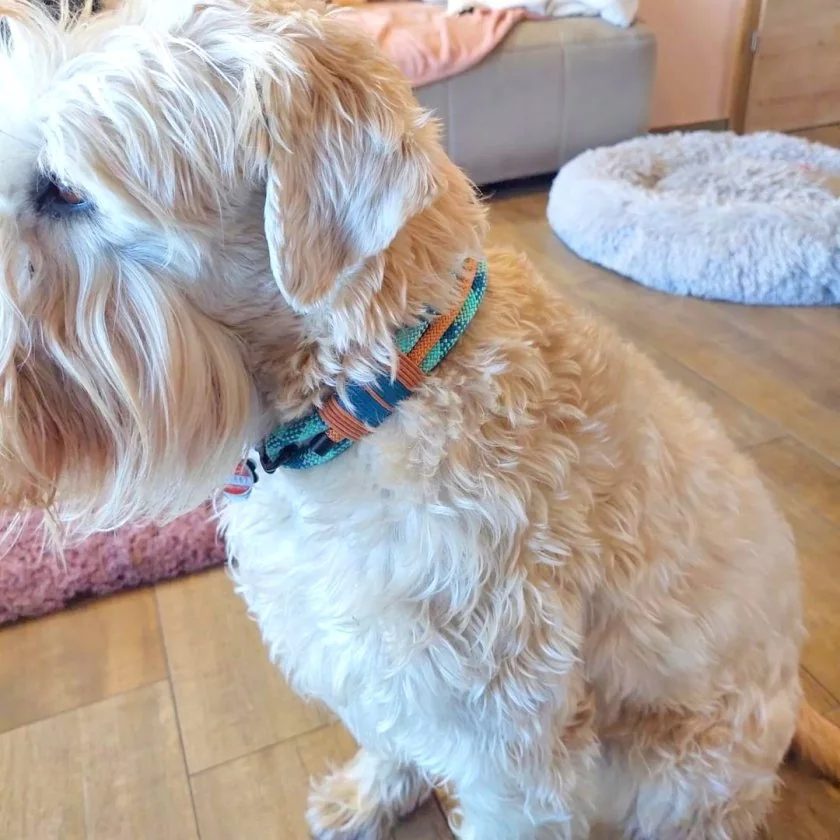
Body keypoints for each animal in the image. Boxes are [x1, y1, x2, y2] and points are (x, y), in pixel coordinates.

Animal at [1, 1, 840, 840]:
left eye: (63, 190)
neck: (373, 398)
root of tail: (793, 698)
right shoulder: (362, 655)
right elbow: (386, 734)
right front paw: (371, 794)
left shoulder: (509, 734)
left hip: (683, 766)